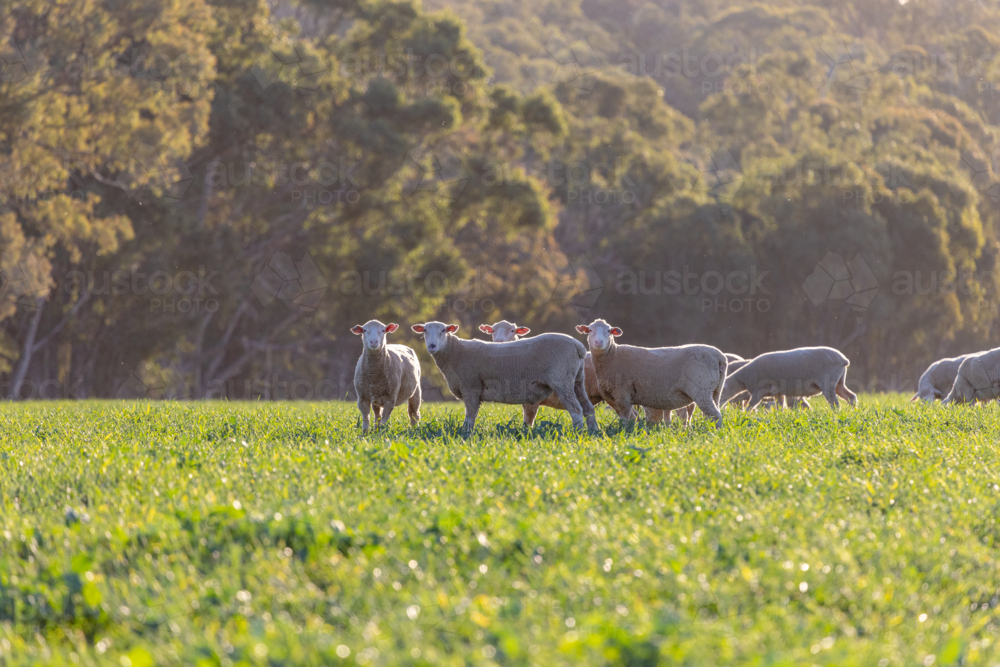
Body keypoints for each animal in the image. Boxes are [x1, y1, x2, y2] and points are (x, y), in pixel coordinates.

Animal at [412, 321, 598, 434]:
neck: (454, 352)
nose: (432, 346)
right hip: (577, 380)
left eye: (443, 330)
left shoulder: (471, 387)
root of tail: (578, 346)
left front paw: (466, 435)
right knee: (588, 408)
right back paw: (593, 432)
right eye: (425, 331)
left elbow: (470, 417)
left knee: (576, 410)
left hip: (562, 380)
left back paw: (578, 433)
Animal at [480, 320, 668, 425]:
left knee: (635, 415)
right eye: (493, 330)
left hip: (614, 396)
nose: (499, 342)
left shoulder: (532, 400)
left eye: (512, 330)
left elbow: (528, 421)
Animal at [576, 319, 727, 428]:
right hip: (715, 390)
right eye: (590, 330)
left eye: (609, 331)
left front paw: (623, 431)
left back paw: (713, 433)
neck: (612, 355)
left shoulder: (623, 394)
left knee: (715, 415)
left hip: (701, 388)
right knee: (712, 414)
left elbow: (625, 418)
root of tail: (719, 356)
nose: (598, 342)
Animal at [719, 347, 856, 410]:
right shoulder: (778, 392)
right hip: (839, 382)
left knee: (835, 403)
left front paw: (745, 415)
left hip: (828, 383)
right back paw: (852, 411)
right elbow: (780, 407)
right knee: (851, 396)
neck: (744, 378)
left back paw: (836, 415)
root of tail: (844, 360)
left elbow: (750, 406)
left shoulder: (759, 391)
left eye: (719, 393)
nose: (718, 407)